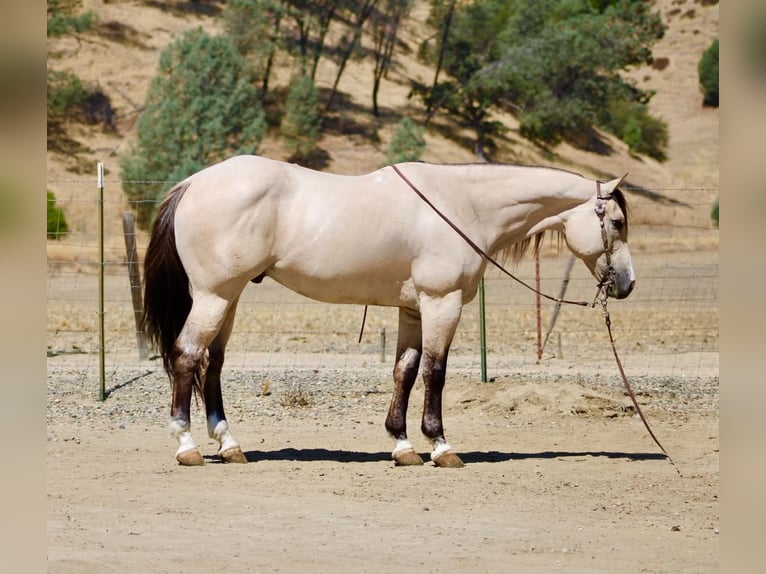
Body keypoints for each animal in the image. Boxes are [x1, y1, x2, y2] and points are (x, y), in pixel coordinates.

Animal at [142, 155, 635, 467]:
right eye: (616, 222)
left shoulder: (413, 310)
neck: (464, 205)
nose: (627, 284)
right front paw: (440, 446)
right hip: (214, 296)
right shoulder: (441, 303)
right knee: (187, 356)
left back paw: (229, 445)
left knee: (213, 364)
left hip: (230, 298)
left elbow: (405, 371)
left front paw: (402, 445)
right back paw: (187, 446)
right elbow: (435, 372)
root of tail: (192, 184)